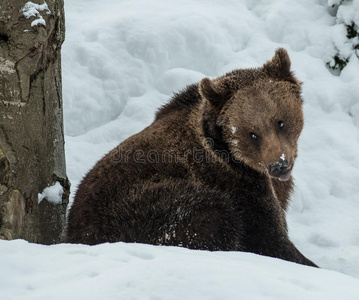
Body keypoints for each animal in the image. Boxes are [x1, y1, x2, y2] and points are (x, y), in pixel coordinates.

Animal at [67, 48, 318, 268]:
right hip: (139, 206)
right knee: (210, 212)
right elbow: (269, 239)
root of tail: (74, 229)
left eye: (280, 122)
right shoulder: (240, 186)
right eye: (252, 133)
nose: (279, 165)